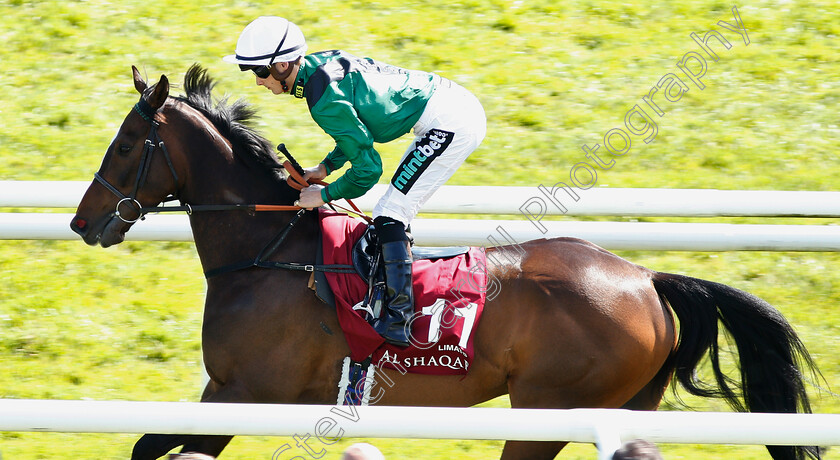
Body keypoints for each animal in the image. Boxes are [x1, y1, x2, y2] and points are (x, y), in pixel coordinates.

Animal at [70, 65, 820, 460]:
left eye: (128, 141)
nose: (82, 221)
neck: (267, 254)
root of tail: (645, 279)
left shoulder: (248, 391)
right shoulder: (233, 392)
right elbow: (147, 446)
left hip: (548, 410)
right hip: (628, 406)